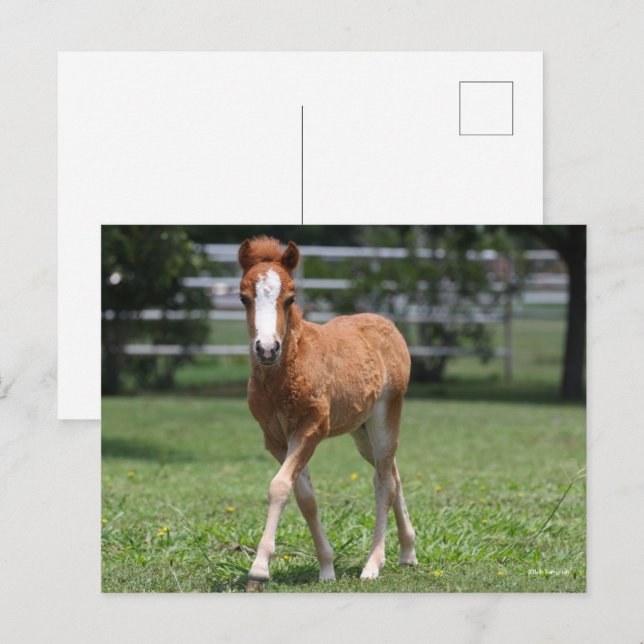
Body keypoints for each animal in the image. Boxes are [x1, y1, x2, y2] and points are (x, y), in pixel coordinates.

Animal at [237, 236, 417, 587]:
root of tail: (387, 324)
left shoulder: (310, 430)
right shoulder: (276, 440)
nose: (267, 349)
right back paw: (408, 552)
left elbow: (279, 487)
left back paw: (373, 565)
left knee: (384, 483)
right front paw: (326, 567)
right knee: (393, 473)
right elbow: (304, 498)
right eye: (243, 298)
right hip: (361, 431)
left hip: (386, 414)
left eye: (290, 299)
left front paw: (259, 569)